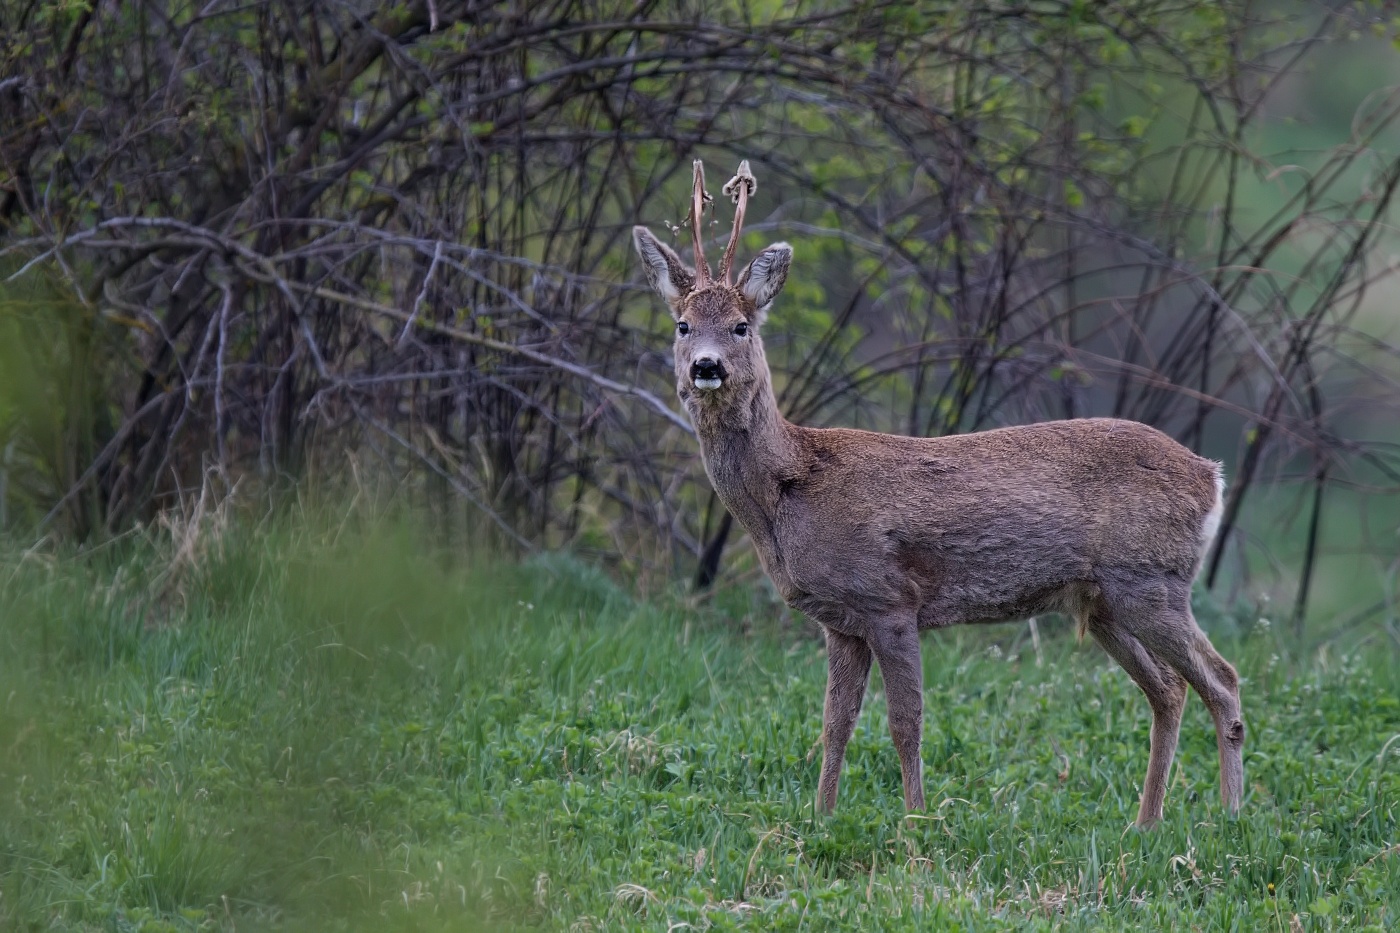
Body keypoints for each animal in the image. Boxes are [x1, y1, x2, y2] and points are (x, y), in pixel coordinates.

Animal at [635, 159, 1248, 829]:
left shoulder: (889, 599)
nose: (707, 366)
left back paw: (1231, 815)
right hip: (1106, 601)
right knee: (1169, 689)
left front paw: (917, 820)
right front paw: (821, 818)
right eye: (682, 324)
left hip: (1152, 580)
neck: (791, 486)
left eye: (742, 325)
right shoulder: (840, 621)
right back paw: (1146, 823)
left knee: (1223, 679)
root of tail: (1212, 476)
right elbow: (834, 724)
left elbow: (906, 723)